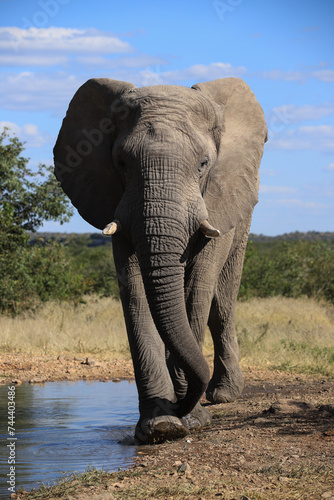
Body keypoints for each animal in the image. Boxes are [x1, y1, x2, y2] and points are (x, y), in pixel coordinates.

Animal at [53, 77, 268, 446]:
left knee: (221, 303)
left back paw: (224, 395)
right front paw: (161, 425)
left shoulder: (216, 199)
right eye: (122, 163)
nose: (183, 403)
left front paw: (192, 419)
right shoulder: (116, 202)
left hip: (242, 218)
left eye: (203, 165)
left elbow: (196, 289)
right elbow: (135, 290)